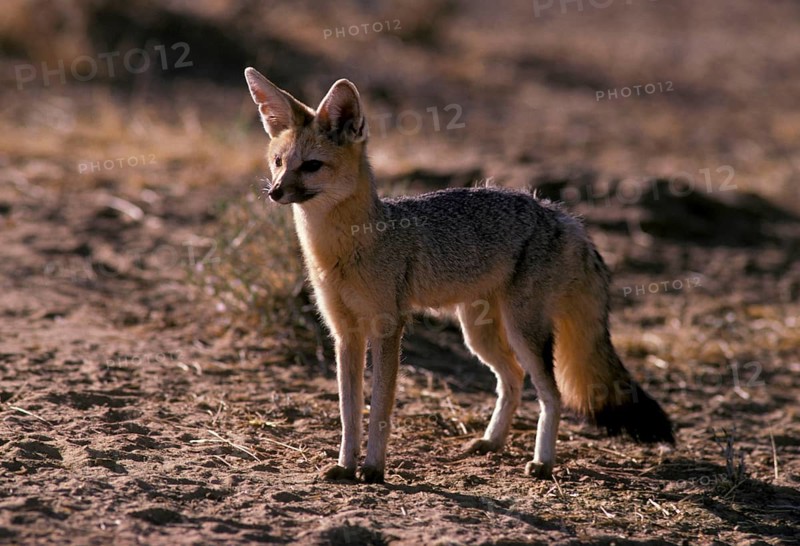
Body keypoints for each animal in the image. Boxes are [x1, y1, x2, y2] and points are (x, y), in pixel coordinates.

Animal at [243, 67, 675, 484]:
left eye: (311, 166)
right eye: (278, 162)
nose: (275, 192)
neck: (343, 250)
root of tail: (562, 215)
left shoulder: (387, 327)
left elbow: (380, 406)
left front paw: (373, 469)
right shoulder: (344, 333)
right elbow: (349, 412)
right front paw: (345, 466)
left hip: (522, 330)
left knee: (551, 394)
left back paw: (542, 463)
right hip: (478, 332)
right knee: (513, 379)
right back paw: (491, 442)